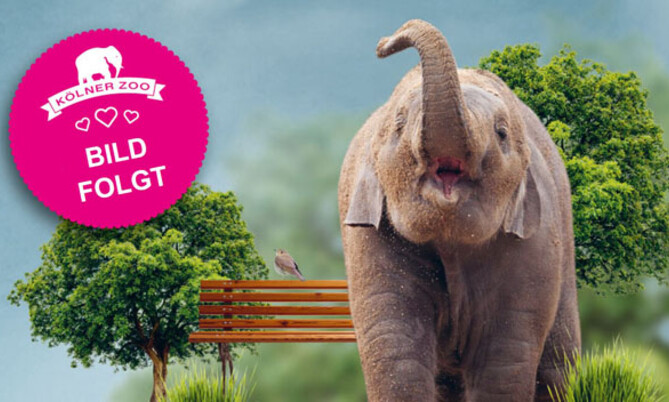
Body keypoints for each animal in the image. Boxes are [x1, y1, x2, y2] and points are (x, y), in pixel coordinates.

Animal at [338, 20, 580, 401]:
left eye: (501, 133)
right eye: (399, 125)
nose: (382, 42)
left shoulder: (534, 241)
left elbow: (503, 359)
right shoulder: (370, 236)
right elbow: (396, 349)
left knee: (557, 368)